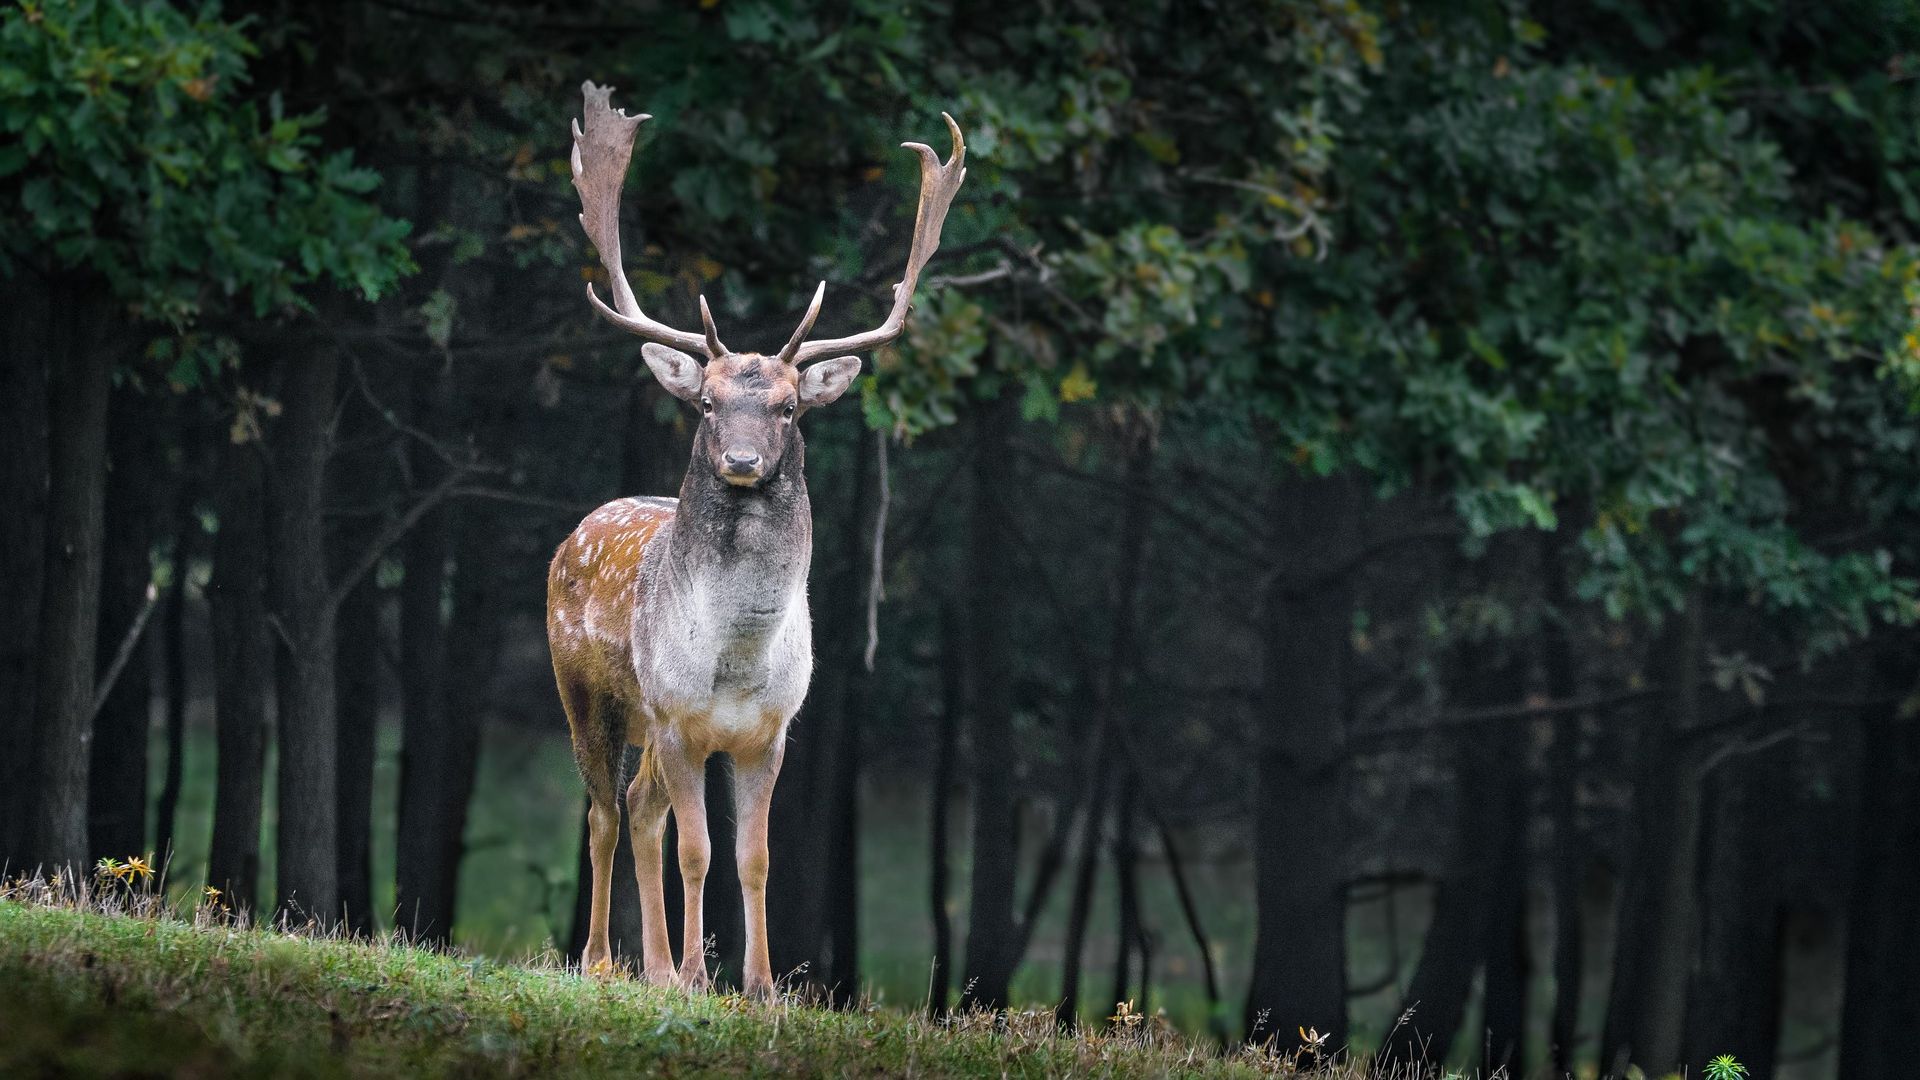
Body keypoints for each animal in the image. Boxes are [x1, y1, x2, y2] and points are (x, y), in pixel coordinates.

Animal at [545, 82, 967, 991]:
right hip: (588, 693)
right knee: (603, 812)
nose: (741, 460)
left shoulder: (770, 731)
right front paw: (701, 977)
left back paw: (654, 966)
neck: (736, 661)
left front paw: (760, 985)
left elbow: (755, 857)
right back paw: (604, 962)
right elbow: (698, 851)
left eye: (788, 407)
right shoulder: (677, 718)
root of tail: (576, 533)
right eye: (707, 402)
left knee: (638, 810)